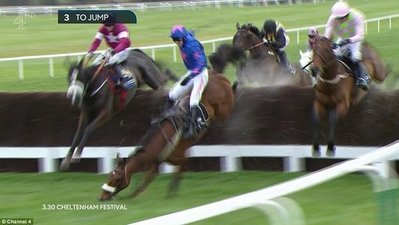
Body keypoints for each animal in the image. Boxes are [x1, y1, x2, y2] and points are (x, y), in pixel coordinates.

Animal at [100, 70, 238, 200]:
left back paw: (236, 85)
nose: (102, 196)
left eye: (116, 179)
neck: (161, 139)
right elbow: (144, 183)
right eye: (109, 176)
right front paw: (132, 196)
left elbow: (176, 177)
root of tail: (215, 75)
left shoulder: (183, 158)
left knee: (230, 102)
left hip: (223, 109)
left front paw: (171, 194)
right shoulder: (156, 164)